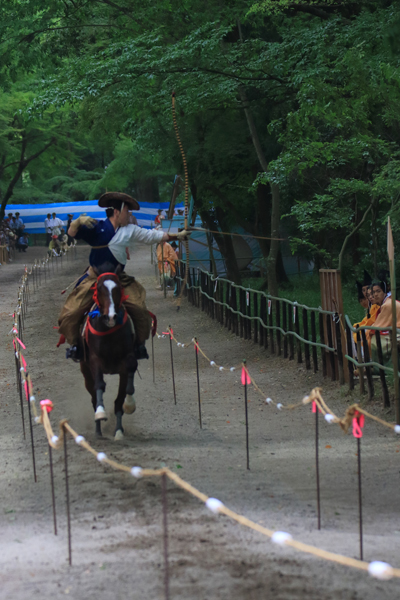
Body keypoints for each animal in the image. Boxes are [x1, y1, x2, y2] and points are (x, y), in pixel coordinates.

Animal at [80, 268, 138, 440]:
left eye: (119, 287)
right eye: (99, 288)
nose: (111, 317)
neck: (109, 332)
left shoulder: (126, 360)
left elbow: (122, 397)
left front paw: (119, 429)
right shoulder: (94, 360)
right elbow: (99, 385)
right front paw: (100, 413)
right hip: (85, 371)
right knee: (93, 396)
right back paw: (98, 431)